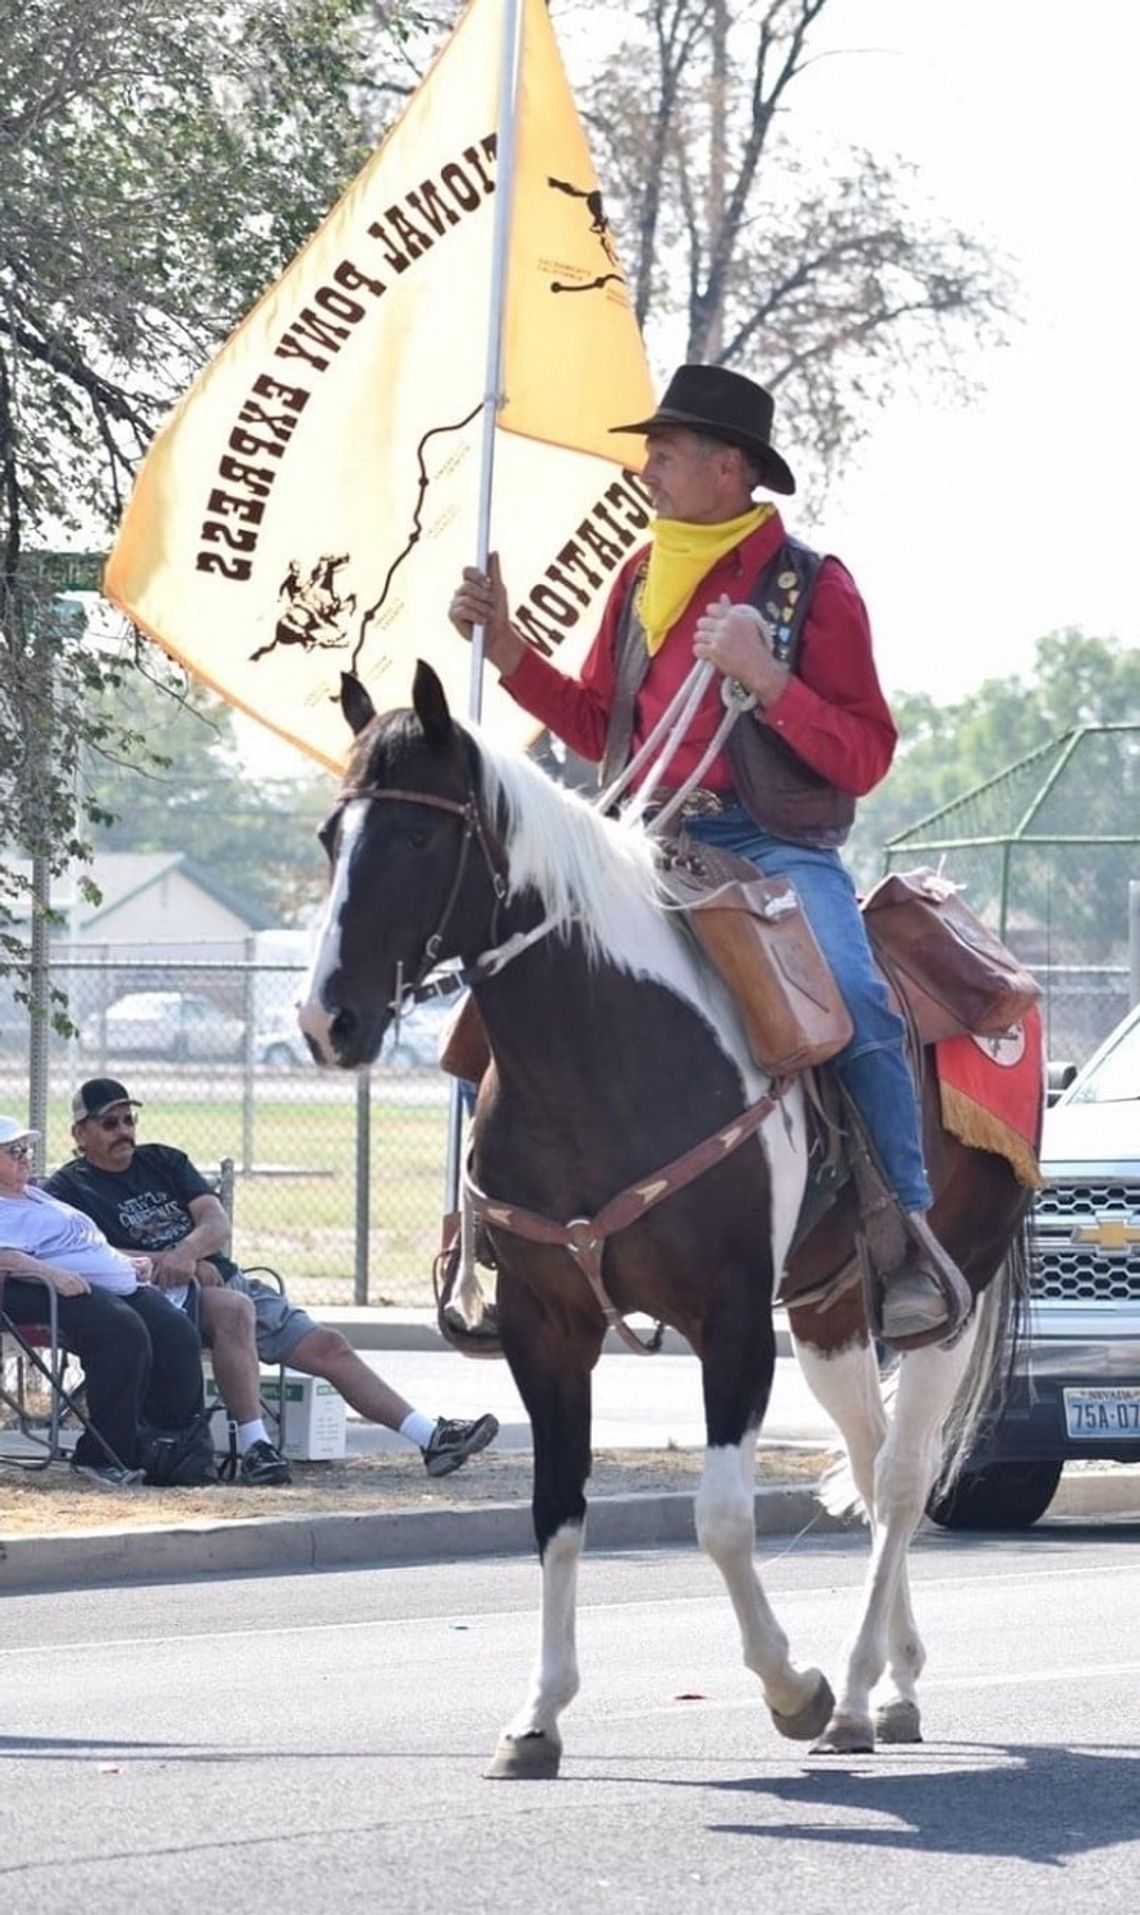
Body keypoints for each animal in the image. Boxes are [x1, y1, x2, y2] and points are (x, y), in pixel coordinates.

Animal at [298, 666, 1026, 1769]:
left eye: (418, 836)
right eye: (332, 839)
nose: (325, 1020)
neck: (603, 1048)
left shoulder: (730, 1320)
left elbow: (721, 1518)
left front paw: (793, 1687)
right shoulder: (547, 1328)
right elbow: (557, 1509)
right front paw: (539, 1713)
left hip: (950, 1294)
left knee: (900, 1479)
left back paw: (854, 1689)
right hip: (827, 1310)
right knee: (867, 1463)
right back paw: (890, 1686)